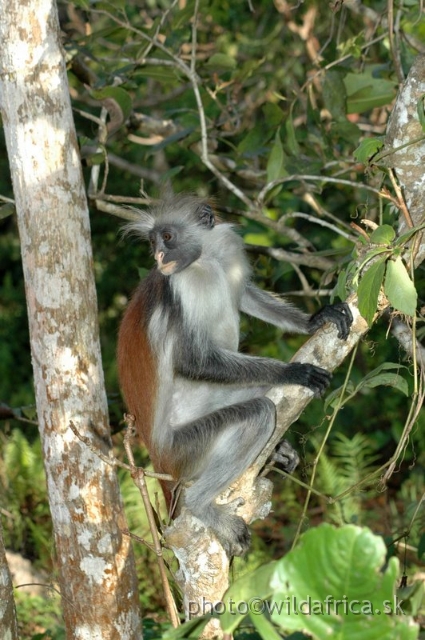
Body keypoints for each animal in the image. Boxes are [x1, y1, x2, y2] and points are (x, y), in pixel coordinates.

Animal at [117, 194, 352, 556]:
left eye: (166, 238)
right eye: (153, 243)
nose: (158, 256)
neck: (207, 260)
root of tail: (158, 458)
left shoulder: (227, 252)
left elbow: (244, 295)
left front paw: (315, 320)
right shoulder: (181, 285)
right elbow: (192, 362)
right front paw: (292, 371)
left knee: (257, 389)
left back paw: (278, 447)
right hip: (186, 448)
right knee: (259, 411)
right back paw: (200, 505)